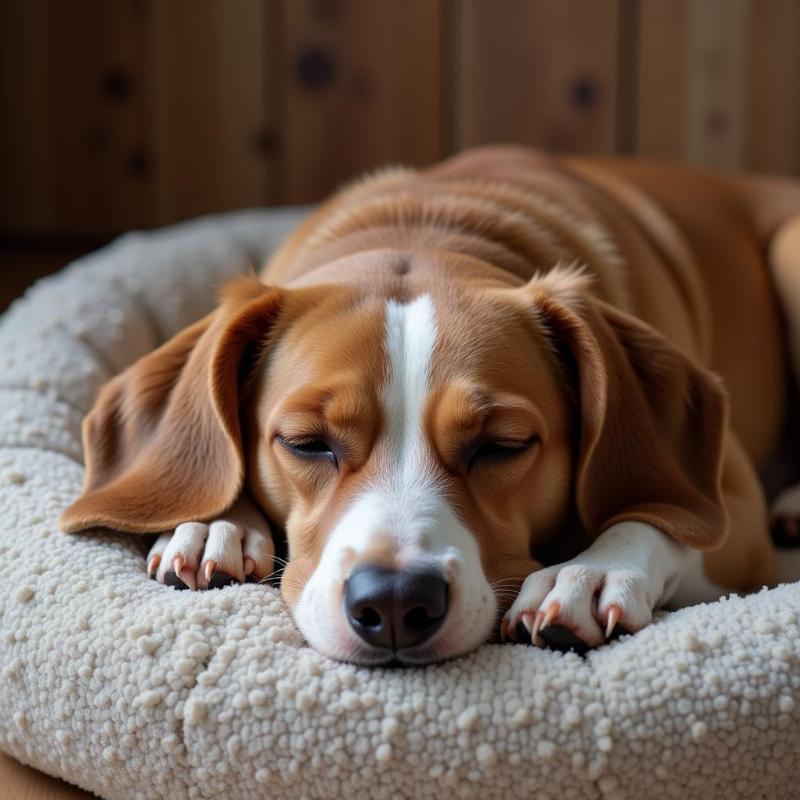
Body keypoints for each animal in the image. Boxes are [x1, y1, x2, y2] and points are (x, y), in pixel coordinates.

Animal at [61, 147, 800, 664]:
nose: (393, 602)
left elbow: (660, 514)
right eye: (305, 442)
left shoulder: (732, 513)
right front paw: (214, 522)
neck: (427, 226)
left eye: (502, 446)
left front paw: (591, 571)